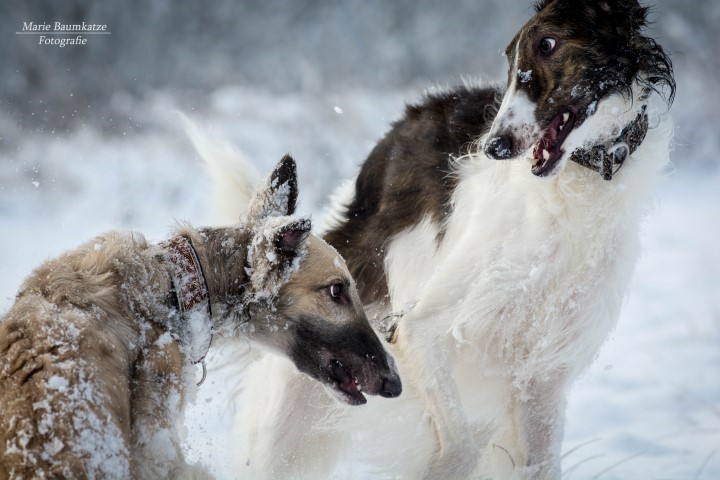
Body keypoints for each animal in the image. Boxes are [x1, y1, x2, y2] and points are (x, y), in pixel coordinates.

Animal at [200, 0, 675, 478]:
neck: (572, 193)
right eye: (508, 59)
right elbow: (458, 449)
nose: (494, 147)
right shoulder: (418, 329)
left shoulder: (542, 378)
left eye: (549, 43)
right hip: (292, 418)